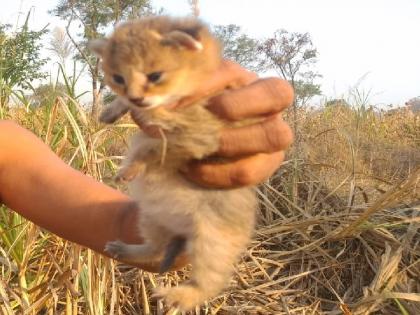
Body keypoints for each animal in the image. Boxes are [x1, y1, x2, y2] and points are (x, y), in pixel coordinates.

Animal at [90, 16, 258, 312]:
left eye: (155, 76)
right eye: (118, 78)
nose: (136, 97)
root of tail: (181, 231)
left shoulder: (197, 137)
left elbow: (151, 148)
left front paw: (130, 168)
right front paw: (113, 110)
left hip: (211, 243)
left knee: (208, 284)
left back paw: (176, 296)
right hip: (152, 220)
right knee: (155, 250)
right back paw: (125, 249)